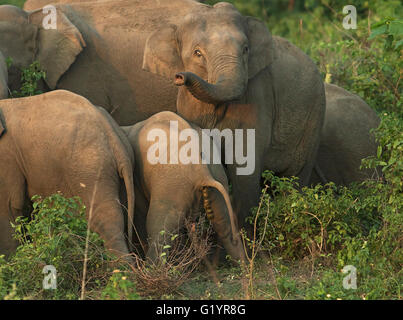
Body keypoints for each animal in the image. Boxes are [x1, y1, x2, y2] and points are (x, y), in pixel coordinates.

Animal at [121, 112, 245, 264]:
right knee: (224, 223)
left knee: (158, 229)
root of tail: (202, 169)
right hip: (217, 173)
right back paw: (243, 265)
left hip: (172, 186)